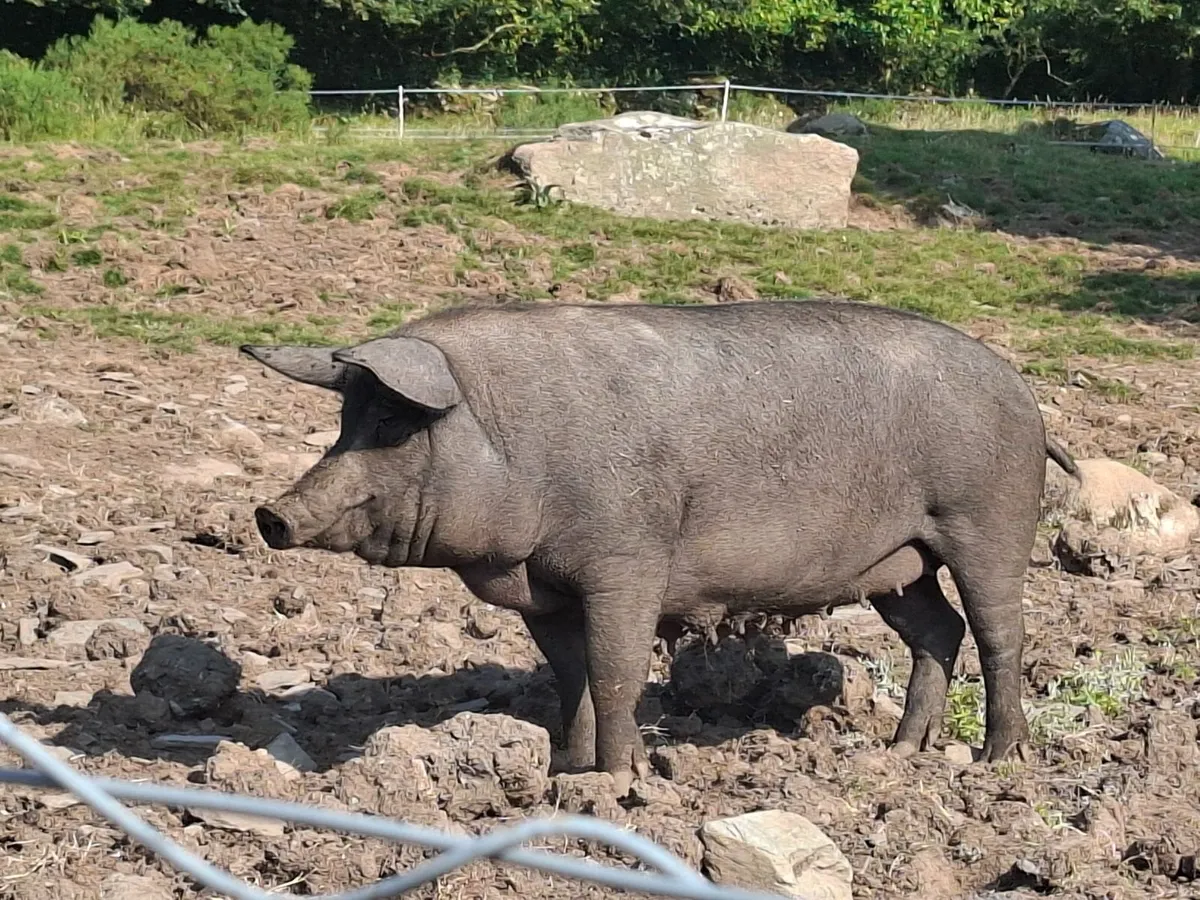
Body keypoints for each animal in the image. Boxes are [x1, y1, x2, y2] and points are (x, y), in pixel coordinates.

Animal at [242, 298, 1078, 797]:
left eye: (390, 425)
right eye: (345, 421)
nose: (269, 514)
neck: (518, 443)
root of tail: (1027, 396)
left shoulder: (627, 561)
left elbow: (616, 670)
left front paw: (623, 782)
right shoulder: (546, 593)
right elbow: (571, 675)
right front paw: (567, 772)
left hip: (986, 521)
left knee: (1002, 631)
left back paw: (1002, 762)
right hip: (899, 564)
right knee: (939, 629)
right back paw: (904, 754)